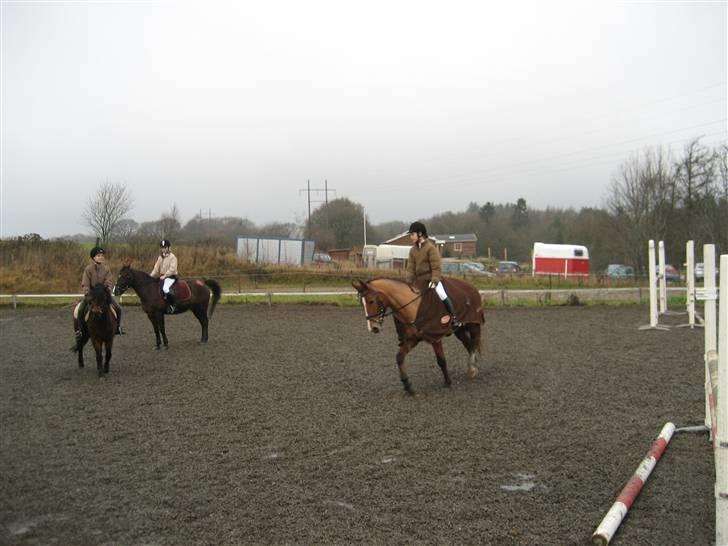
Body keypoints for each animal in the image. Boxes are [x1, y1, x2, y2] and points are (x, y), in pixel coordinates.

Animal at [352, 278, 484, 394]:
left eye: (371, 301)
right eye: (362, 303)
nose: (373, 328)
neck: (414, 308)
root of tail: (473, 288)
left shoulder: (435, 339)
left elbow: (441, 361)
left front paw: (448, 382)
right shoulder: (412, 339)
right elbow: (399, 357)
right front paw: (407, 385)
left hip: (473, 325)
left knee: (474, 344)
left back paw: (473, 368)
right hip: (459, 330)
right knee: (469, 345)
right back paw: (473, 368)